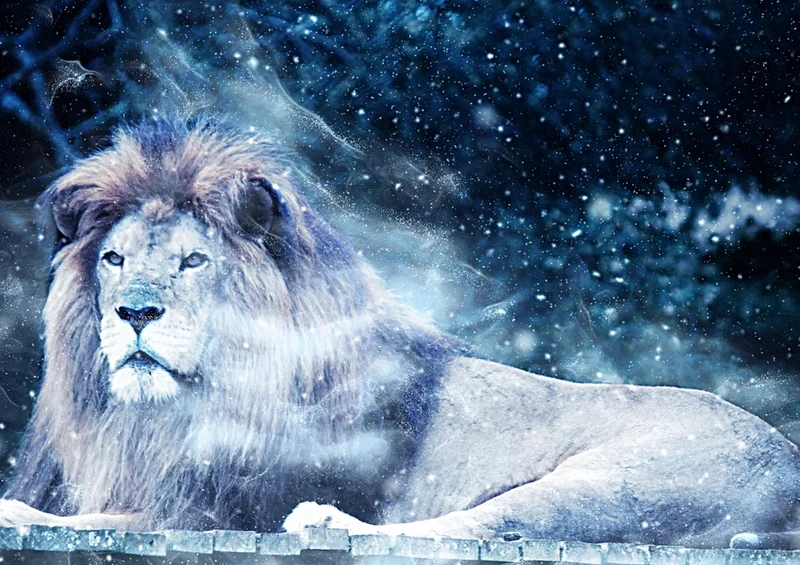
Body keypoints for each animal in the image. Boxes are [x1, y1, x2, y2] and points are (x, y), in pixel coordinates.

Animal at [1, 118, 799, 550]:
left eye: (194, 261)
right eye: (115, 260)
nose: (134, 312)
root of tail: (789, 462)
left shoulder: (215, 506)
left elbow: (99, 514)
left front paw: (15, 506)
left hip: (613, 481)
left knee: (486, 528)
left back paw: (324, 521)